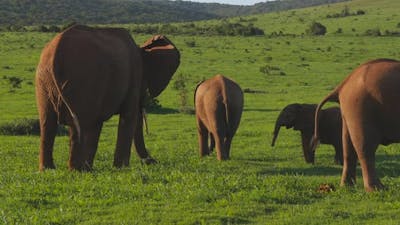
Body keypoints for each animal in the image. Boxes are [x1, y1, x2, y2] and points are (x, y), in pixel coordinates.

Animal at [36, 24, 180, 171]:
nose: (152, 161)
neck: (142, 49)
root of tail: (54, 53)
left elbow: (96, 124)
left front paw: (89, 168)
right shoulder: (132, 77)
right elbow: (129, 116)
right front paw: (121, 169)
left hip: (44, 80)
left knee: (48, 122)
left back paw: (48, 169)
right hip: (80, 80)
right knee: (77, 124)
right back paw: (75, 170)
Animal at [310, 58, 400, 192]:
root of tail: (342, 85)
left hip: (350, 110)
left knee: (348, 147)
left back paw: (347, 187)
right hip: (361, 107)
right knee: (365, 148)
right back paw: (376, 189)